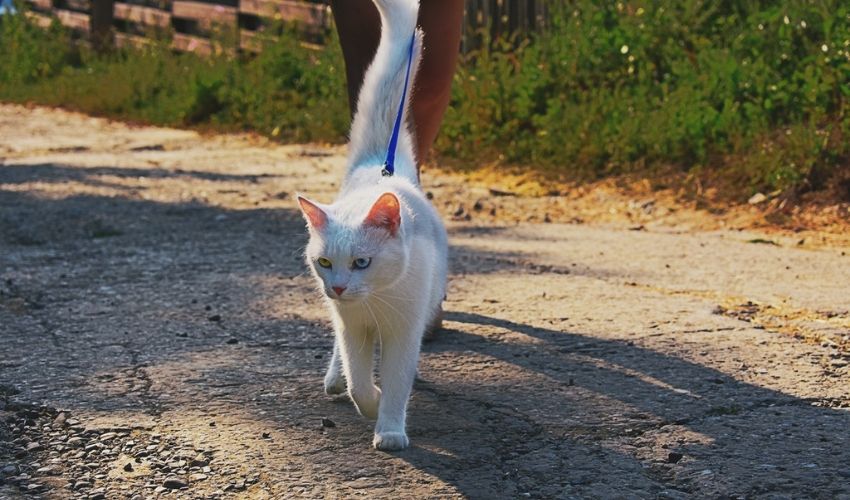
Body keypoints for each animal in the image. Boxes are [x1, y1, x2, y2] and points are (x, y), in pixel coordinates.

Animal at [294, 0, 448, 454]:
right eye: (325, 262)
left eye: (362, 262)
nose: (340, 287)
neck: (374, 301)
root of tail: (380, 166)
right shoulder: (353, 329)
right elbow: (359, 380)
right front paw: (370, 402)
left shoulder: (403, 332)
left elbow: (398, 382)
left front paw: (390, 428)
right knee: (340, 356)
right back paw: (333, 378)